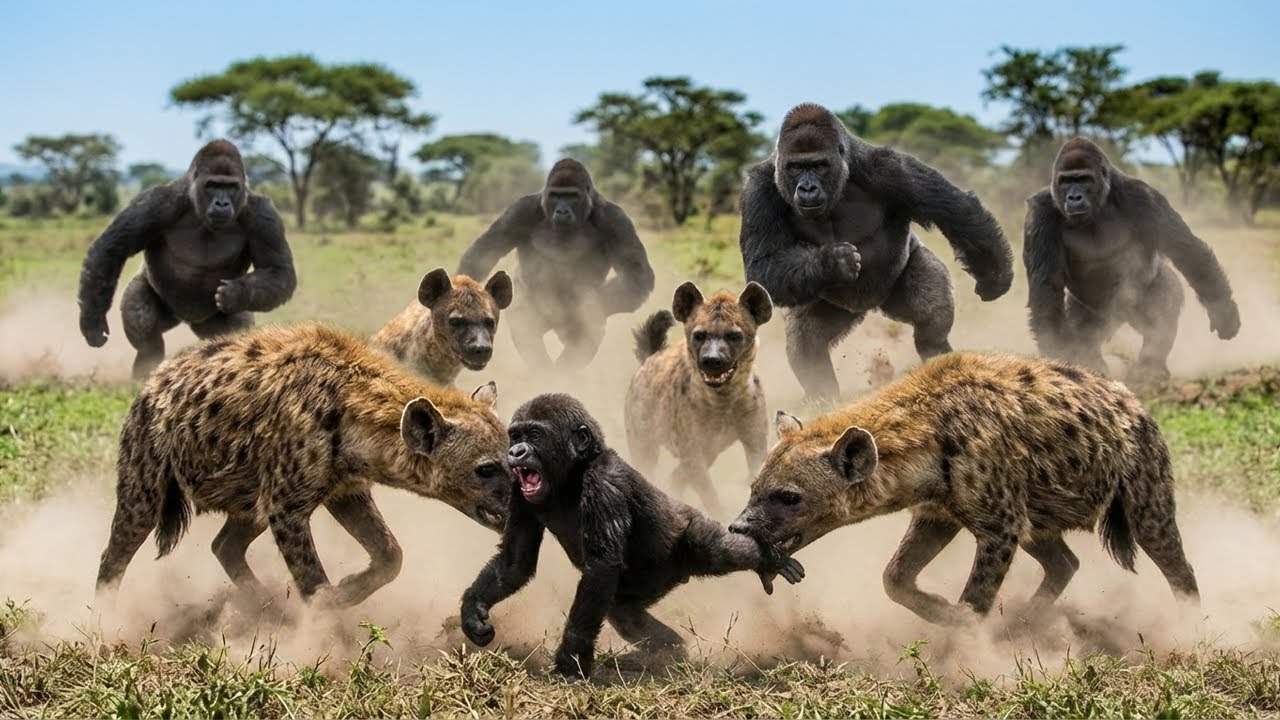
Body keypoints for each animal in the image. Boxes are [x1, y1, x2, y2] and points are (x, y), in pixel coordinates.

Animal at [77, 139, 296, 379]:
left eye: (231, 187)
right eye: (212, 185)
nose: (221, 203)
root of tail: (185, 319)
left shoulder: (262, 215)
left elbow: (278, 270)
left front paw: (237, 293)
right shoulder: (156, 202)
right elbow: (113, 248)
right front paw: (92, 321)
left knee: (234, 334)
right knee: (144, 325)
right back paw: (145, 369)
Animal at [457, 159, 654, 370]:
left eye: (572, 196)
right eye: (555, 195)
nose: (562, 211)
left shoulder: (615, 219)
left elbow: (636, 278)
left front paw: (588, 302)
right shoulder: (521, 210)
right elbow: (484, 252)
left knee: (589, 326)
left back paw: (563, 370)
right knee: (524, 323)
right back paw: (543, 369)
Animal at [460, 394, 803, 680]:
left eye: (533, 436)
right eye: (515, 435)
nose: (515, 451)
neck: (574, 473)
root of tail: (676, 577)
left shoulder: (604, 486)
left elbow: (600, 567)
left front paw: (570, 664)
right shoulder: (518, 491)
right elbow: (514, 562)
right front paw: (473, 611)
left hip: (688, 535)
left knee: (720, 550)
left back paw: (766, 557)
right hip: (640, 586)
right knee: (624, 613)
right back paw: (669, 651)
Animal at [739, 103, 1012, 402]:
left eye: (818, 166)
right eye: (796, 167)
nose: (807, 188)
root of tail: (870, 306)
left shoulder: (889, 168)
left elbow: (954, 208)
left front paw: (994, 274)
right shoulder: (759, 190)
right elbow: (763, 265)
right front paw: (832, 263)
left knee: (929, 315)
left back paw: (938, 356)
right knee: (806, 342)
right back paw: (824, 395)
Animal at [1024, 137, 1240, 384]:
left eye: (1084, 179)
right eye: (1065, 181)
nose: (1074, 197)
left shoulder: (1143, 197)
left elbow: (1186, 249)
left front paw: (1224, 310)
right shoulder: (1040, 213)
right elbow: (1047, 291)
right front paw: (1065, 359)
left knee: (1161, 304)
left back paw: (1151, 367)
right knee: (1084, 329)